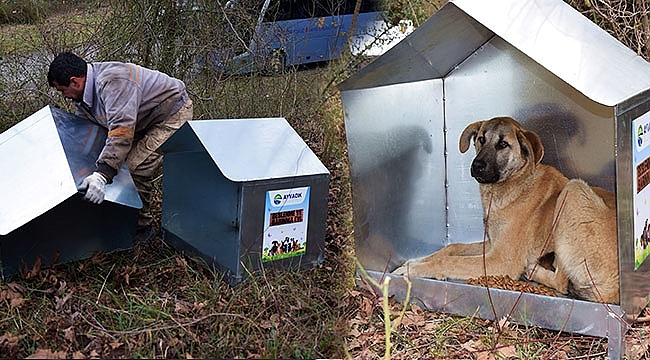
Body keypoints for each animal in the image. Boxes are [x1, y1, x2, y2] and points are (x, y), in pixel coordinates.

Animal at [390, 116, 616, 302]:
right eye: (481, 139)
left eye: (503, 144)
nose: (477, 166)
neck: (513, 183)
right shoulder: (491, 246)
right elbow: (452, 248)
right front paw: (418, 260)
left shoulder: (501, 260)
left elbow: (449, 261)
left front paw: (413, 268)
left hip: (573, 190)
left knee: (561, 281)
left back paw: (533, 271)